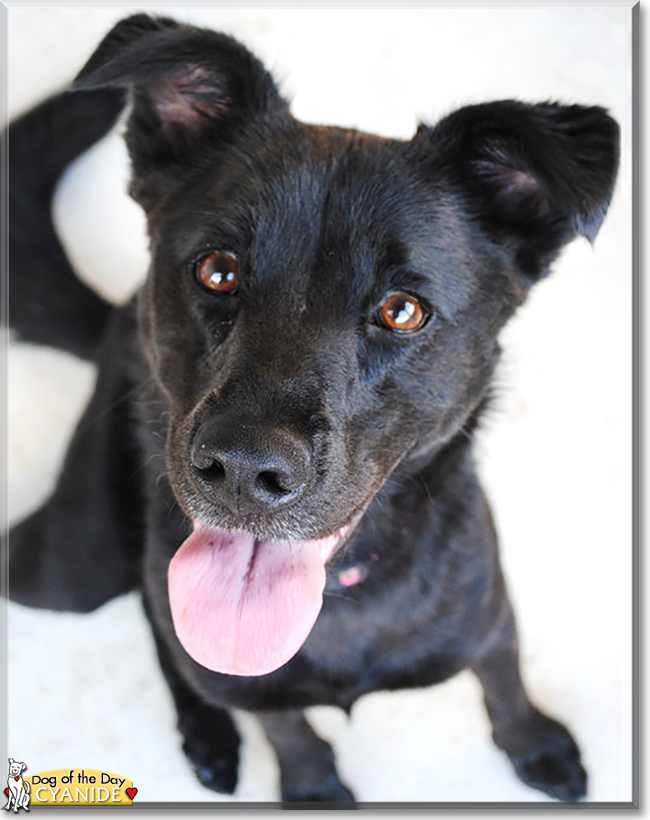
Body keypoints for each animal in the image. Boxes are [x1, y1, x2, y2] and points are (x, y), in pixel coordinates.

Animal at [8, 14, 616, 808]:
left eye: (401, 310)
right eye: (218, 270)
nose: (243, 470)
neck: (336, 599)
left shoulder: (492, 620)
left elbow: (505, 685)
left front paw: (534, 744)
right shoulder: (253, 685)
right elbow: (285, 728)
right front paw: (312, 788)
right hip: (66, 570)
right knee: (150, 609)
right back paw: (207, 731)